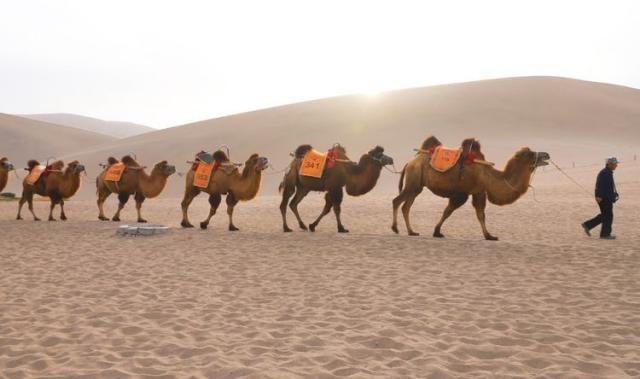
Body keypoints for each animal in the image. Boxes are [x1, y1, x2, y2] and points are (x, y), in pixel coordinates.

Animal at [390, 136, 552, 240]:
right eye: (531, 154)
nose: (547, 154)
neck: (487, 175)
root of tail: (410, 162)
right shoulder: (464, 192)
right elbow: (450, 211)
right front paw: (437, 232)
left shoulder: (478, 192)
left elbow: (480, 214)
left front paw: (489, 235)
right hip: (413, 181)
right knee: (397, 201)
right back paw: (395, 228)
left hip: (417, 186)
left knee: (406, 206)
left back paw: (412, 232)